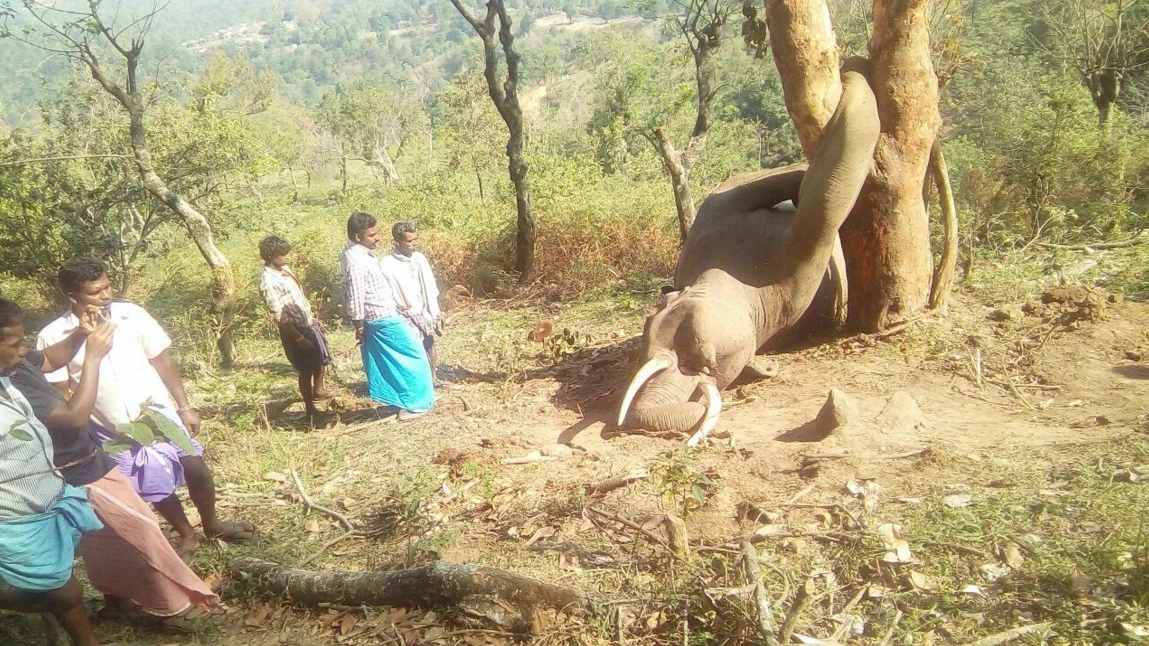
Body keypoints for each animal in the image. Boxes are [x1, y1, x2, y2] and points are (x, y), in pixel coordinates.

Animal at [620, 66, 877, 448]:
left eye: (708, 361)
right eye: (643, 353)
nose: (701, 396)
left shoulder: (784, 254)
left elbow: (818, 198)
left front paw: (852, 72)